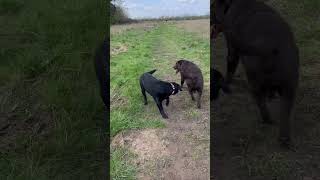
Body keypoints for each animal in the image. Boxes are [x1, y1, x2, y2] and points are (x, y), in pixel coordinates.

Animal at [212, 0, 300, 146]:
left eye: (212, 7)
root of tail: (268, 46)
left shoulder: (232, 49)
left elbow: (230, 69)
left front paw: (227, 82)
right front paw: (271, 95)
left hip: (254, 80)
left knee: (261, 103)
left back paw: (266, 120)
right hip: (289, 86)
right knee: (284, 115)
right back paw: (284, 139)